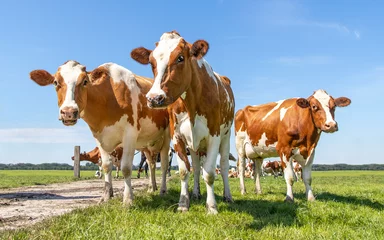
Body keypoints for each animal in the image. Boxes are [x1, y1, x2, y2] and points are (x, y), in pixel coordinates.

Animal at [28, 61, 171, 205]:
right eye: (55, 82)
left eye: (85, 81)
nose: (68, 112)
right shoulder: (99, 137)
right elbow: (106, 166)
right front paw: (106, 197)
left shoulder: (130, 134)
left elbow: (125, 168)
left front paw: (128, 200)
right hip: (146, 145)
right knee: (151, 165)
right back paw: (152, 188)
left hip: (166, 137)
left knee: (164, 165)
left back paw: (163, 191)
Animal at [131, 29, 234, 214]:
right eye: (151, 62)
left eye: (180, 58)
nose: (154, 98)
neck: (192, 102)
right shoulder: (177, 135)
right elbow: (185, 171)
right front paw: (183, 203)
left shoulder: (214, 135)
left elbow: (209, 172)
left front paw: (212, 207)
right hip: (193, 144)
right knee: (195, 166)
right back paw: (196, 193)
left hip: (226, 136)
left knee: (223, 166)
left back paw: (227, 196)